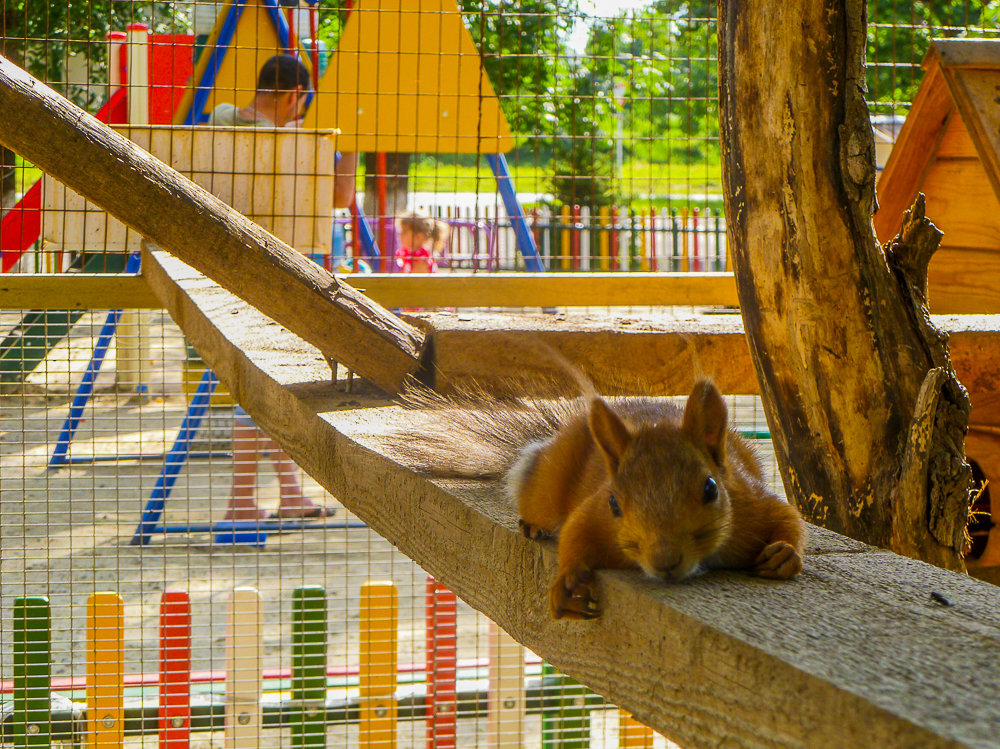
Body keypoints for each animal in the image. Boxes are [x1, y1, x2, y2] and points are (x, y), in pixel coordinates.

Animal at [394, 380, 808, 620]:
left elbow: (787, 518)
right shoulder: (594, 514)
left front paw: (784, 553)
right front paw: (567, 584)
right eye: (614, 504)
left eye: (711, 488)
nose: (665, 562)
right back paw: (532, 523)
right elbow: (575, 533)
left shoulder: (750, 503)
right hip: (549, 486)